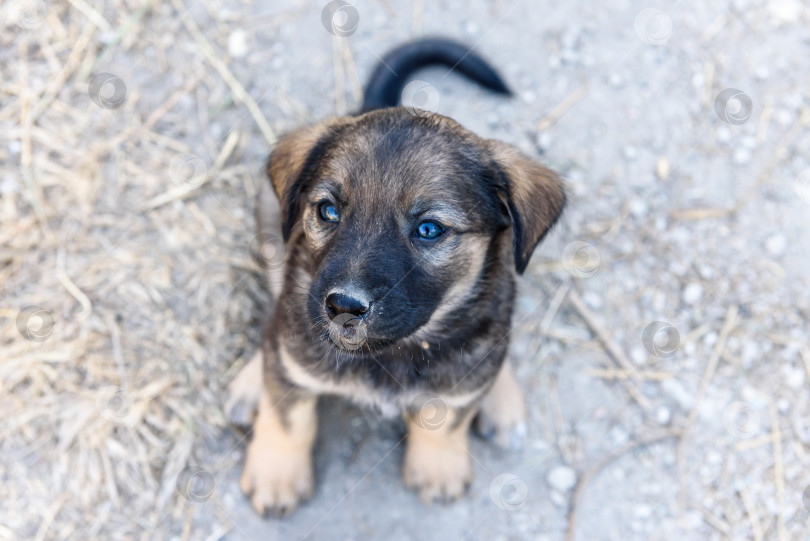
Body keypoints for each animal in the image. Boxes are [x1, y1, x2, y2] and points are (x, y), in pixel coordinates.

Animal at [224, 38, 564, 516]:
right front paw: (277, 475)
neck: (391, 354)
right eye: (328, 210)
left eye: (429, 229)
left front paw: (438, 466)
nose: (343, 307)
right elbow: (289, 416)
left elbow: (449, 414)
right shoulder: (294, 345)